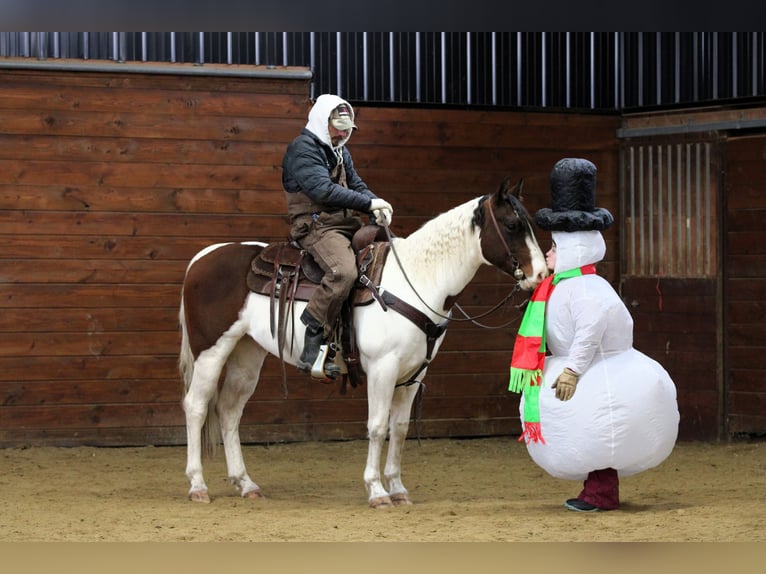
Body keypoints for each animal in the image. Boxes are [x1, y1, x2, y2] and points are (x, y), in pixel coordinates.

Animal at [178, 176, 548, 508]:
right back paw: (197, 485)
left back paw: (246, 484)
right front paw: (377, 490)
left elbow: (399, 429)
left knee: (229, 410)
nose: (541, 274)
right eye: (512, 224)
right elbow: (377, 426)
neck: (417, 280)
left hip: (246, 354)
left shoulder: (414, 375)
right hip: (211, 351)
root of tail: (202, 257)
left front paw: (398, 489)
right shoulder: (383, 369)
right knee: (196, 406)